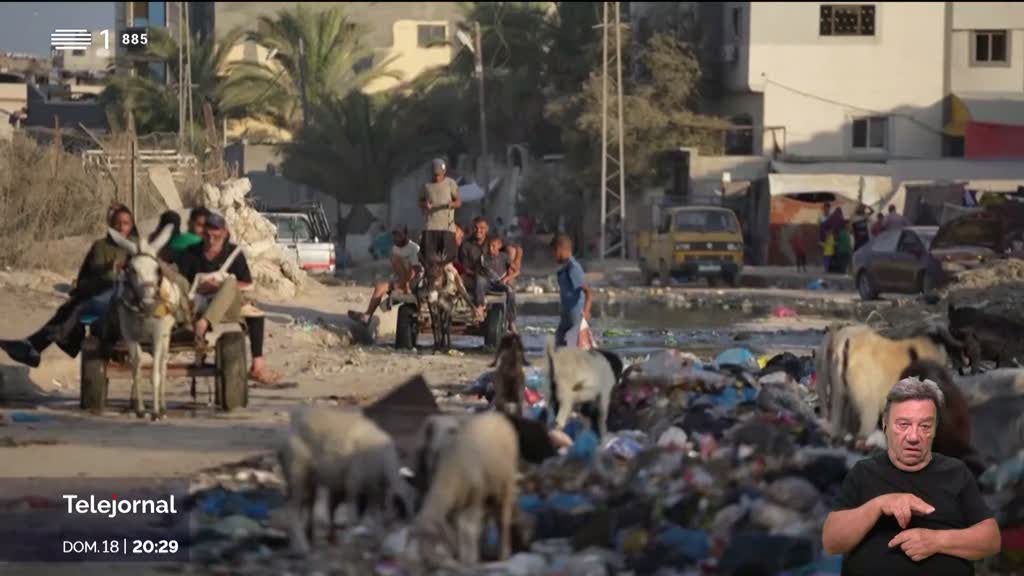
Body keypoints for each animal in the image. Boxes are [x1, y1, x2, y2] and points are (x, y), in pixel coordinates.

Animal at [109, 224, 189, 416]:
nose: (148, 301)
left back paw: (163, 406)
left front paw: (155, 412)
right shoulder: (129, 336)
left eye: (157, 270)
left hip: (166, 335)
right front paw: (139, 409)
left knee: (163, 365)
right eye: (132, 269)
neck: (142, 311)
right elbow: (135, 369)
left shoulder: (157, 335)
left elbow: (155, 374)